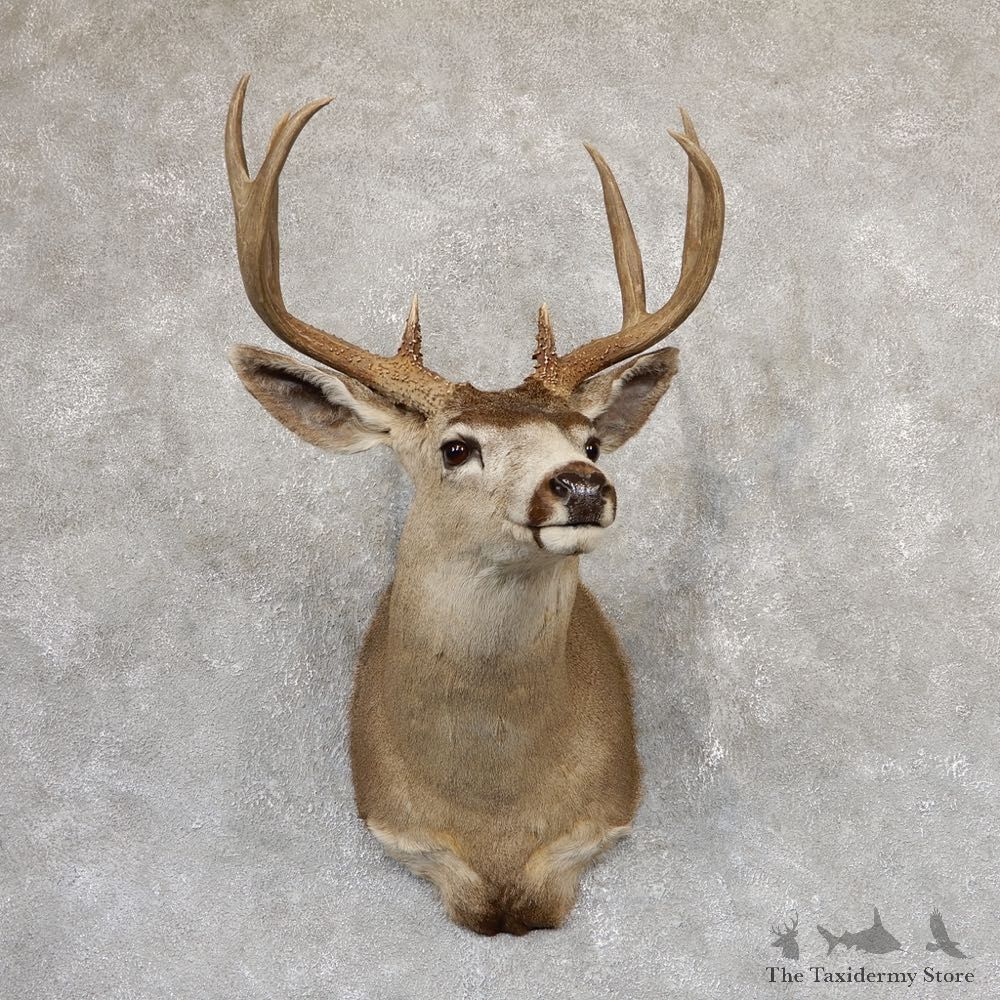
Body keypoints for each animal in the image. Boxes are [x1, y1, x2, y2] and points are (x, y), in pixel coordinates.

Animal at [223, 74, 724, 936]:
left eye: (591, 442)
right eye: (456, 448)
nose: (580, 485)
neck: (494, 813)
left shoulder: (603, 822)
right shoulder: (395, 829)